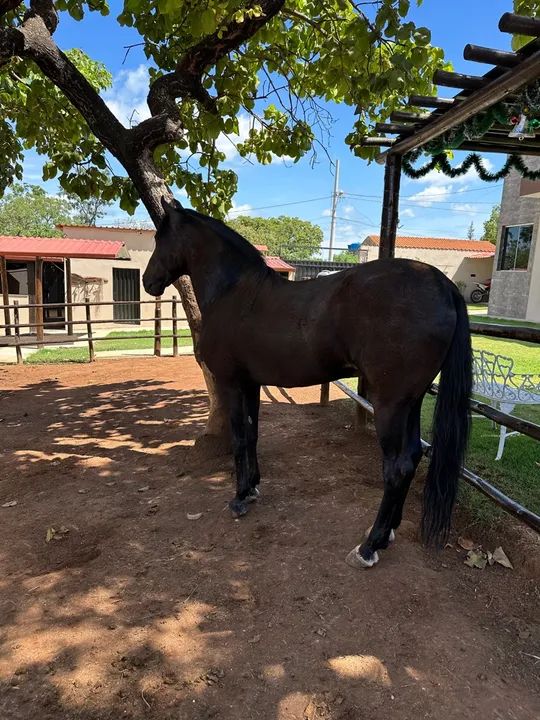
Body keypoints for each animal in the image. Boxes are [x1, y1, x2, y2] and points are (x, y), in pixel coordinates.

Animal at [143, 197, 472, 569]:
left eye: (159, 238)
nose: (148, 281)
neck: (234, 292)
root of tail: (441, 284)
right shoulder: (251, 384)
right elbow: (253, 435)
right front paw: (253, 488)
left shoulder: (230, 383)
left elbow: (240, 438)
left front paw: (239, 499)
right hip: (410, 403)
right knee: (414, 456)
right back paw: (388, 533)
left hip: (389, 405)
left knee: (397, 468)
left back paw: (369, 546)